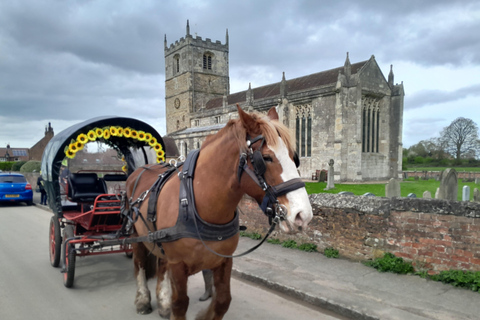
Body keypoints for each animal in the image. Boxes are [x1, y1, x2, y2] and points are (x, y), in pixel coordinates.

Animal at [124, 105, 312, 320]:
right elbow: (180, 303)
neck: (197, 203)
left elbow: (222, 300)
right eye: (265, 158)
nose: (303, 215)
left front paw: (203, 315)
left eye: (294, 156)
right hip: (137, 236)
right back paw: (143, 300)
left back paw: (163, 303)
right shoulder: (178, 265)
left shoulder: (223, 260)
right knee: (139, 263)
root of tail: (139, 170)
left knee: (161, 263)